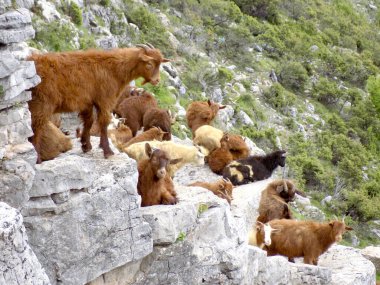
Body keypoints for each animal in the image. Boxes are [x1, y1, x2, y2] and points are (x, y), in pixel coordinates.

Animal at [27, 42, 169, 162]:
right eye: (149, 64)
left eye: (159, 64)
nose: (156, 81)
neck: (113, 69)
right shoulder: (105, 100)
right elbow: (104, 123)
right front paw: (107, 151)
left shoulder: (87, 102)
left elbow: (89, 121)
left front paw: (86, 145)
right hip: (41, 104)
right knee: (36, 129)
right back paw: (37, 159)